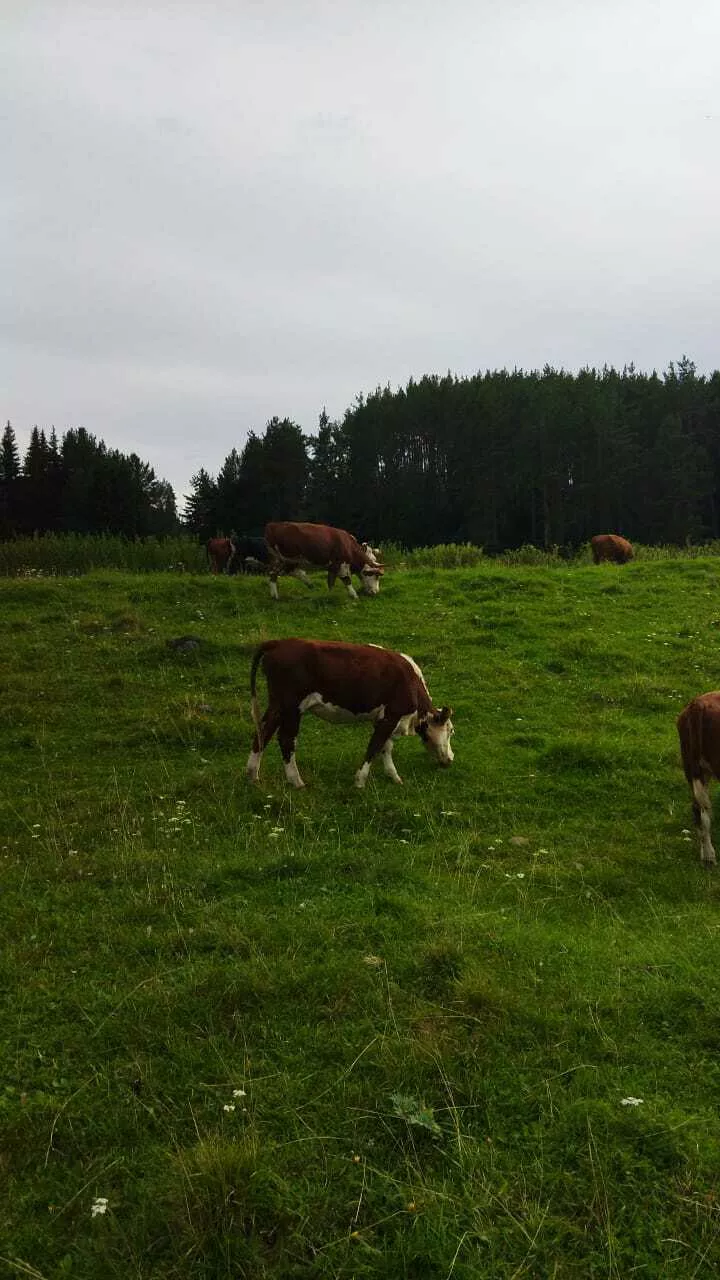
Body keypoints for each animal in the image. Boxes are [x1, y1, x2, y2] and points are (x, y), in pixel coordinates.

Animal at [243, 634, 450, 783]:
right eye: (450, 731)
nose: (450, 759)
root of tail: (278, 643)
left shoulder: (384, 718)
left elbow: (386, 746)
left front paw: (393, 776)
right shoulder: (392, 715)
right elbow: (375, 745)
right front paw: (360, 780)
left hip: (277, 705)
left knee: (263, 732)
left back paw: (252, 775)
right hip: (292, 706)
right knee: (286, 739)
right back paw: (296, 781)